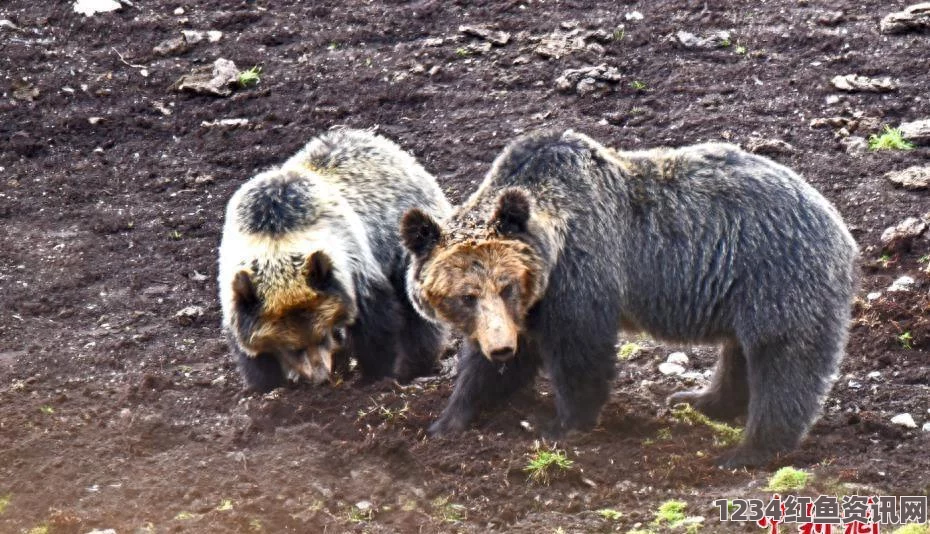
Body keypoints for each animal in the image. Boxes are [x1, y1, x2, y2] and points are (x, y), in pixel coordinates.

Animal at [218, 129, 450, 394]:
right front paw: (267, 383)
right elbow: (252, 354)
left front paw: (377, 373)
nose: (321, 377)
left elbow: (377, 324)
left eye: (321, 335)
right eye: (292, 347)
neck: (274, 235)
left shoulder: (355, 269)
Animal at [398, 130, 856, 468]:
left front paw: (562, 423)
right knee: (740, 352)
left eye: (506, 285)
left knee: (783, 360)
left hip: (777, 276)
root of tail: (838, 224)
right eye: (465, 296)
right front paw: (447, 420)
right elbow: (491, 368)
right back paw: (700, 401)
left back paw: (751, 449)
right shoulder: (524, 311)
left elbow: (580, 352)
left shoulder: (579, 276)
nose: (500, 347)